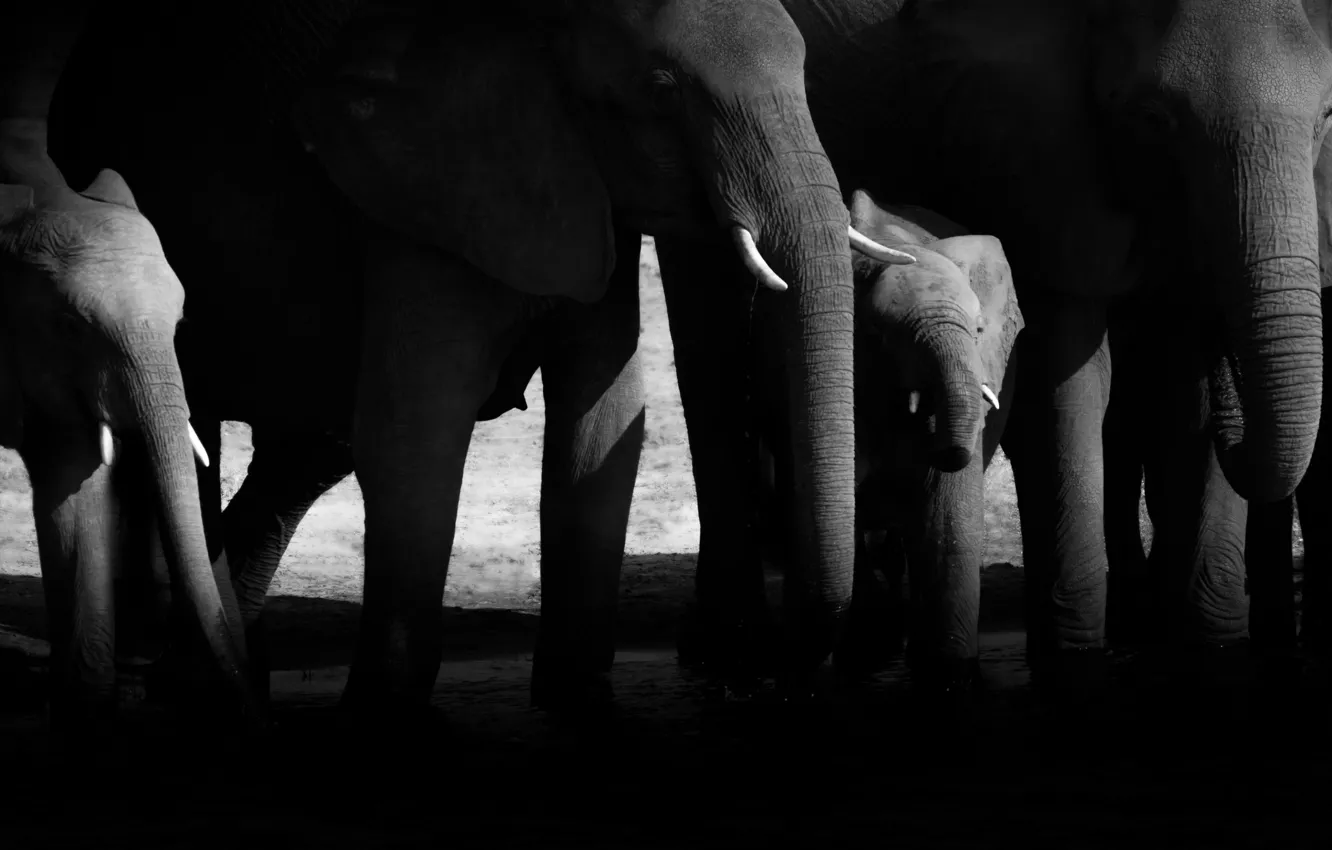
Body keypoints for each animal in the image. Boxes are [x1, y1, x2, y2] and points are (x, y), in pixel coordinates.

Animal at [21, 0, 914, 722]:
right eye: (661, 86)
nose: (789, 686)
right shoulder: (427, 186)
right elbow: (417, 427)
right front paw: (385, 717)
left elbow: (606, 417)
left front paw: (579, 705)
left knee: (299, 450)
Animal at [746, 190, 1022, 692]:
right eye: (880, 335)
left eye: (977, 331)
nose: (946, 445)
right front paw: (870, 649)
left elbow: (947, 511)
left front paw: (947, 673)